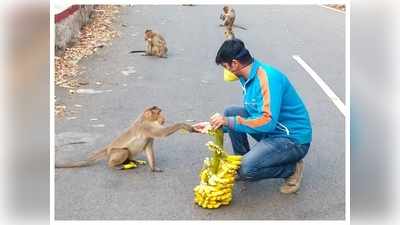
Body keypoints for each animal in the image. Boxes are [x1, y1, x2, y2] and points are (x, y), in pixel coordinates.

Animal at [55, 106, 197, 171]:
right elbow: (162, 134)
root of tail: (108, 148)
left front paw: (153, 168)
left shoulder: (149, 132)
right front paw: (185, 126)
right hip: (113, 153)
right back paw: (114, 165)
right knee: (124, 151)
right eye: (159, 113)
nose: (164, 118)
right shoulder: (148, 127)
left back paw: (131, 161)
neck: (145, 119)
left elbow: (148, 147)